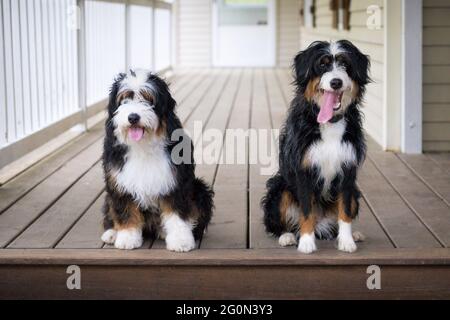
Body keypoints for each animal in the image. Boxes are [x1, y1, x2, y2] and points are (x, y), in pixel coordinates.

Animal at [102, 70, 214, 252]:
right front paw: (127, 238)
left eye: (148, 99)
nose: (133, 117)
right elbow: (125, 210)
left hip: (199, 189)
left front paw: (181, 240)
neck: (143, 145)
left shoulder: (176, 182)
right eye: (124, 99)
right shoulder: (120, 183)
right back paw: (111, 232)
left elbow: (177, 213)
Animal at [262, 40, 370, 254]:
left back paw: (353, 234)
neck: (329, 123)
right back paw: (286, 236)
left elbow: (345, 210)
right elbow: (306, 210)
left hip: (355, 193)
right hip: (279, 188)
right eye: (322, 65)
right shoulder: (304, 170)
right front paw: (306, 243)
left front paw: (347, 241)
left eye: (345, 64)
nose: (336, 82)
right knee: (281, 223)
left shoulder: (348, 170)